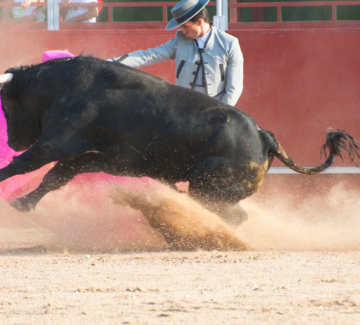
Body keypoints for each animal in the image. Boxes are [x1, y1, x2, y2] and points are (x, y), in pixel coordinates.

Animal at [0, 56, 358, 225]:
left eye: (5, 104)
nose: (14, 141)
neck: (59, 85)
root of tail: (264, 136)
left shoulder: (54, 143)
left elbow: (24, 165)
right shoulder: (91, 156)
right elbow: (54, 177)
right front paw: (22, 203)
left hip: (208, 188)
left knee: (233, 216)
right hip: (209, 190)